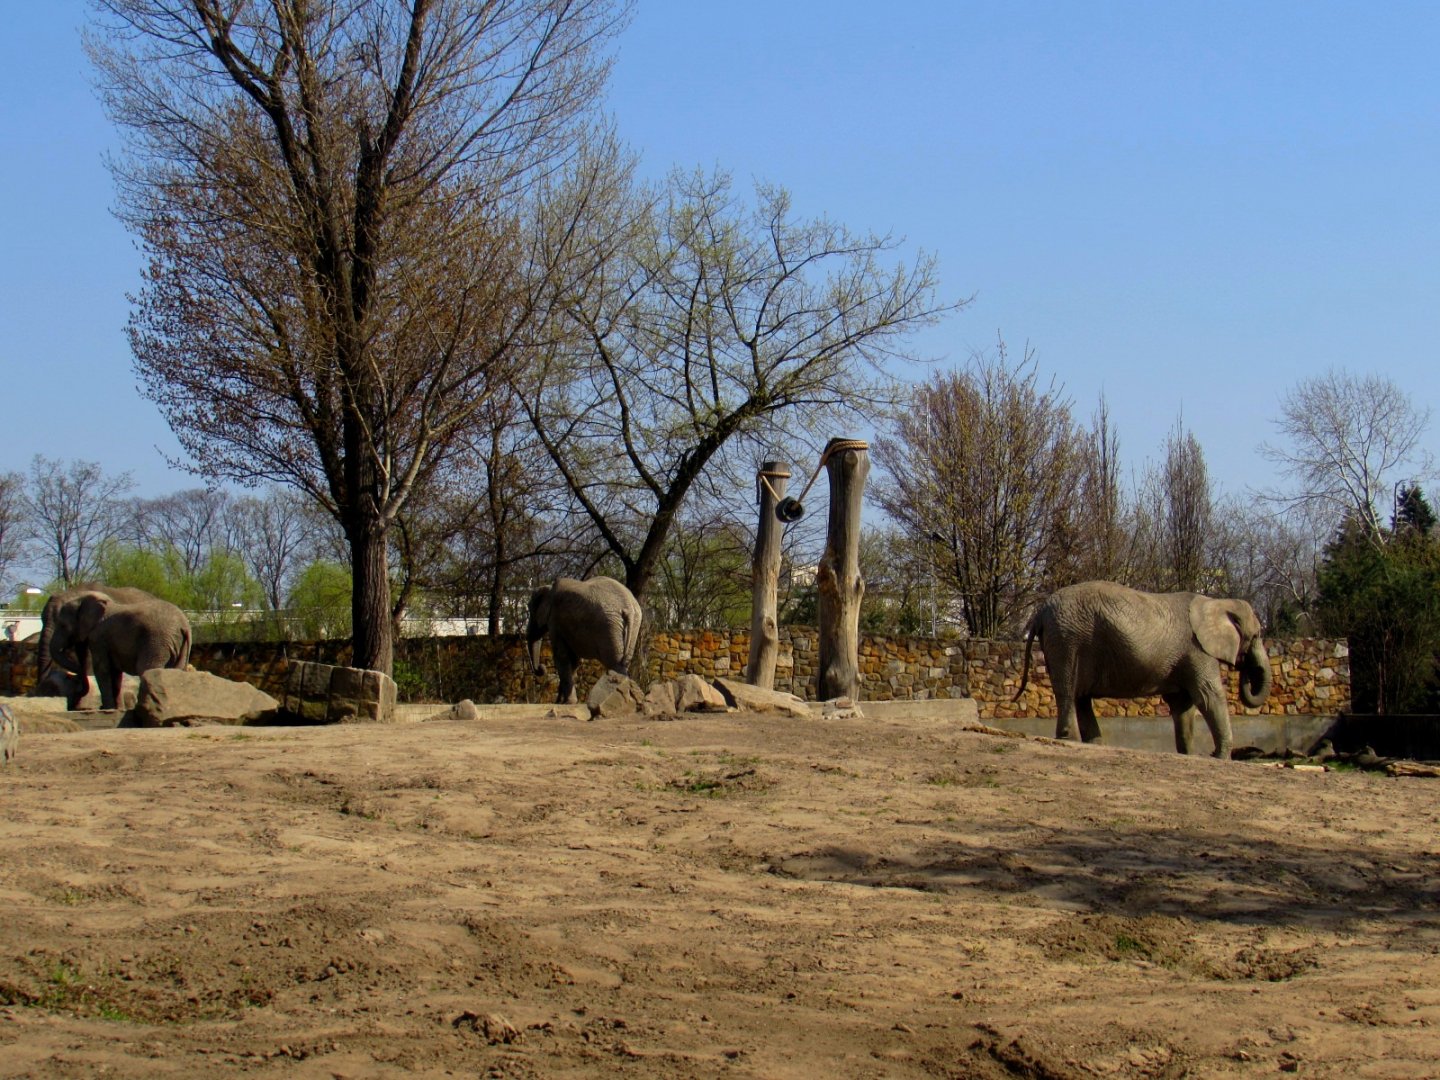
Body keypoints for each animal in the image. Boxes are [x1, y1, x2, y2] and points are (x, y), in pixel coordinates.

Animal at [49, 591, 193, 710]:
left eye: (63, 625)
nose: (76, 690)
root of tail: (184, 625)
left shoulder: (98, 637)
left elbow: (102, 669)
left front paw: (106, 708)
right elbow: (116, 672)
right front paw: (116, 708)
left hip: (157, 640)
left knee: (146, 668)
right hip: (177, 644)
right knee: (176, 670)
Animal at [1015, 580, 1273, 759]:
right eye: (1256, 635)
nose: (1243, 667)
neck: (1217, 602)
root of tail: (1041, 610)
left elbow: (1182, 706)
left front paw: (1188, 754)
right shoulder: (1197, 650)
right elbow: (1208, 696)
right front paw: (1220, 758)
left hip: (1065, 640)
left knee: (1080, 696)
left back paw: (1095, 744)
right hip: (1067, 640)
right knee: (1069, 691)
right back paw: (1072, 741)